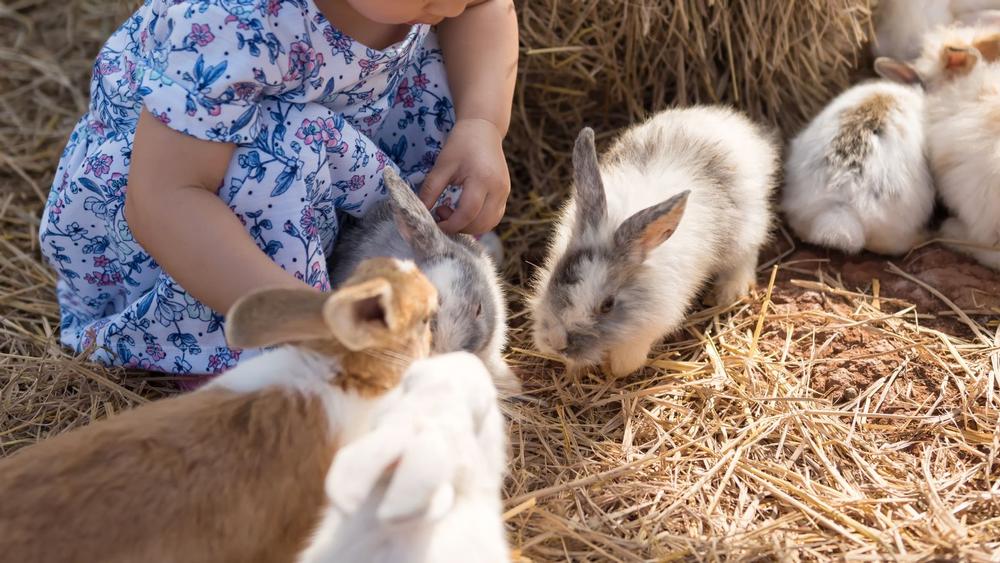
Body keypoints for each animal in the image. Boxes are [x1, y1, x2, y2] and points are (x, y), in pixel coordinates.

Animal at [528, 106, 776, 378]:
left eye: (607, 305)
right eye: (555, 280)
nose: (556, 341)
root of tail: (737, 126)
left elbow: (628, 359)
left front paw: (615, 370)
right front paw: (575, 371)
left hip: (746, 230)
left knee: (747, 254)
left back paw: (729, 293)